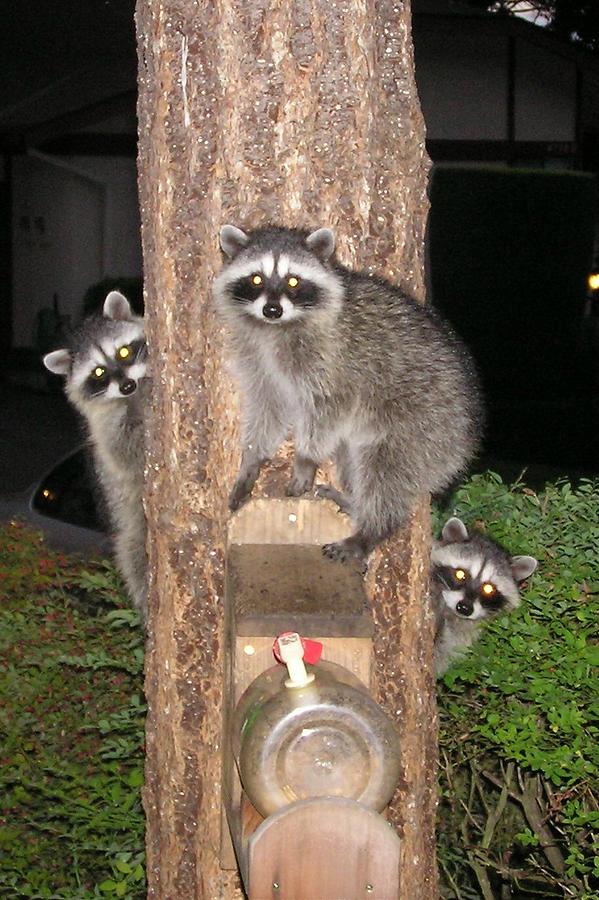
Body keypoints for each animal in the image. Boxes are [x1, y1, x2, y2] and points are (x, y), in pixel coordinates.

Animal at [43, 292, 149, 624]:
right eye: (99, 372)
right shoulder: (102, 428)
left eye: (124, 352)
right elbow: (125, 451)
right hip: (130, 530)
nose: (127, 385)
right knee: (133, 558)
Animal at [213, 225, 486, 564]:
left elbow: (329, 408)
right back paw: (353, 500)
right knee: (351, 458)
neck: (276, 328)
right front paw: (252, 458)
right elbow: (268, 408)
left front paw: (305, 458)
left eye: (293, 280)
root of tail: (466, 439)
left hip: (425, 424)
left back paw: (371, 530)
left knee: (385, 474)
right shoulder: (260, 361)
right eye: (255, 279)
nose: (272, 309)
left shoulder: (336, 361)